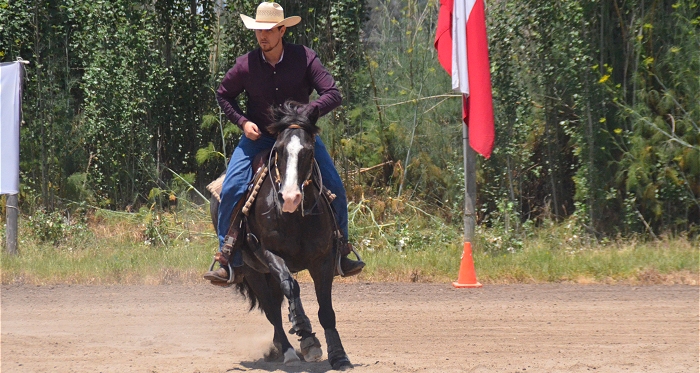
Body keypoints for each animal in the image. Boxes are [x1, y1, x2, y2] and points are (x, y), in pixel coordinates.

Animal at [206, 101, 350, 370]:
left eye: (308, 151)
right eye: (280, 150)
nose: (290, 197)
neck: (294, 218)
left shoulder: (323, 259)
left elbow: (326, 310)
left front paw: (338, 356)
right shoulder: (267, 253)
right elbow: (291, 287)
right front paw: (304, 331)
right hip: (252, 271)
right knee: (272, 309)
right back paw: (289, 351)